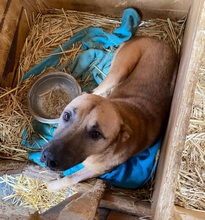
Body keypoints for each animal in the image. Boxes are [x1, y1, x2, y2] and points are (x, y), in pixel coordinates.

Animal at [40, 36, 178, 191]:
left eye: (95, 134)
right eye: (66, 116)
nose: (48, 158)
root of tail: (156, 40)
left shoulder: (95, 170)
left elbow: (72, 178)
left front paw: (53, 185)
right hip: (119, 72)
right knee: (95, 91)